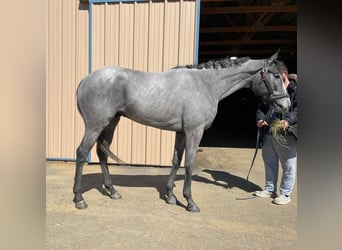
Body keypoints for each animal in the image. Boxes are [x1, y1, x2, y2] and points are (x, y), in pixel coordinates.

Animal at [73, 51, 290, 212]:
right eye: (276, 76)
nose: (286, 105)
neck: (206, 85)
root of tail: (85, 79)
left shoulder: (182, 132)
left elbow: (176, 161)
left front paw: (170, 195)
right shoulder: (195, 131)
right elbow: (189, 164)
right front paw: (190, 202)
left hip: (111, 123)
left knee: (101, 153)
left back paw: (112, 191)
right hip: (95, 125)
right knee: (82, 153)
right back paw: (79, 198)